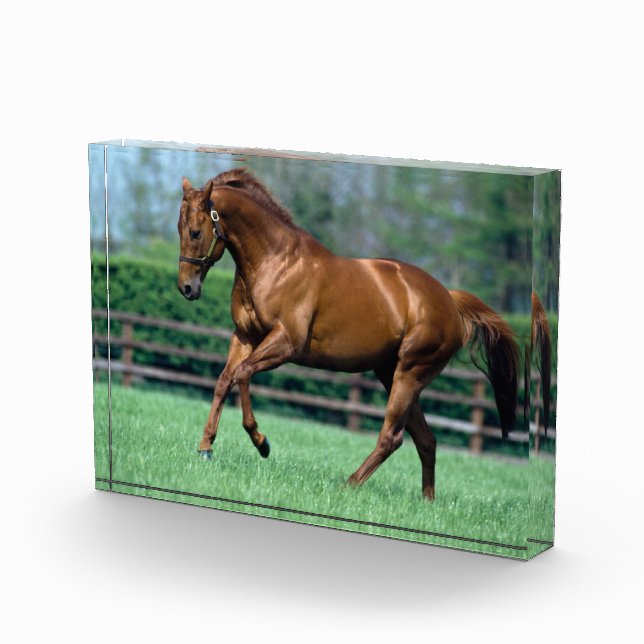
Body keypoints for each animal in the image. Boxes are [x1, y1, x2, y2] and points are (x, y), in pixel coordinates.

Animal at [177, 168, 519, 500]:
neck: (275, 262)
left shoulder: (285, 343)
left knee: (392, 437)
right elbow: (225, 380)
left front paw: (261, 442)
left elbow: (244, 373)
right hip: (391, 373)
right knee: (426, 440)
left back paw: (349, 485)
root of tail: (449, 299)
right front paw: (205, 447)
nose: (187, 288)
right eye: (179, 229)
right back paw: (427, 503)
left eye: (195, 232)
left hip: (409, 375)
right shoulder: (245, 336)